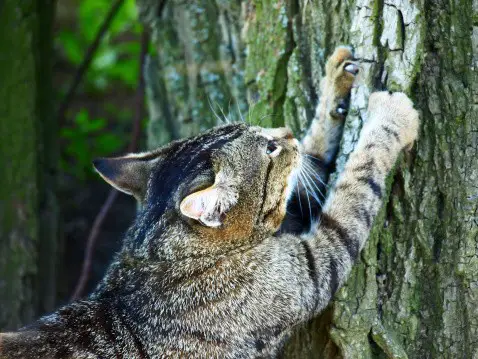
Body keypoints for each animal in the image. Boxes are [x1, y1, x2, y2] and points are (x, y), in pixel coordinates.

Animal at [0, 47, 418, 359]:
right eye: (269, 149)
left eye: (262, 130)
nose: (285, 131)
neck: (155, 256)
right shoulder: (312, 265)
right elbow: (358, 179)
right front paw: (390, 117)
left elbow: (314, 155)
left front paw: (337, 79)